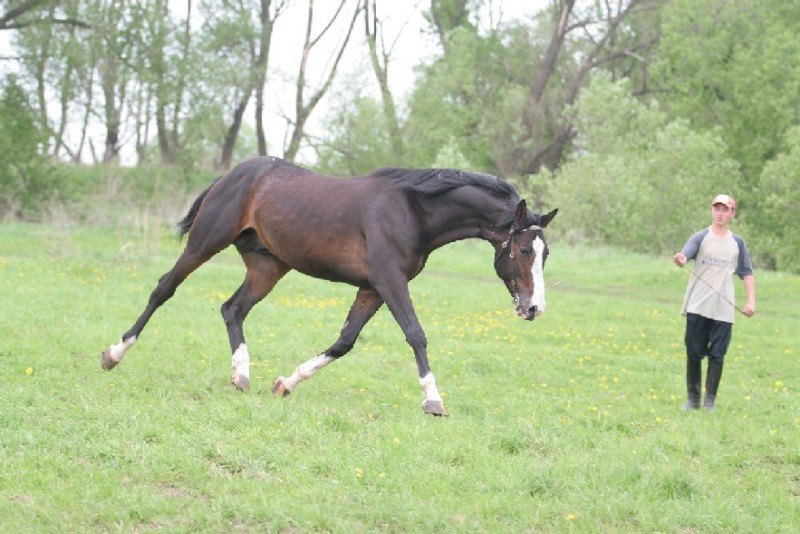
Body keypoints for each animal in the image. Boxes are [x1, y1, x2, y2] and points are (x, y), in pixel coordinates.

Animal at [101, 157, 556, 416]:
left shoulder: (373, 289)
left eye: (545, 253)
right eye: (522, 250)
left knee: (232, 309)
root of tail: (234, 174)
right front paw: (433, 400)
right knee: (164, 289)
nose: (534, 308)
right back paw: (113, 354)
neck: (413, 211)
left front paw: (285, 383)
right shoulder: (389, 281)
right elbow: (416, 334)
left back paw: (242, 375)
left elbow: (344, 342)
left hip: (268, 266)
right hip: (205, 241)